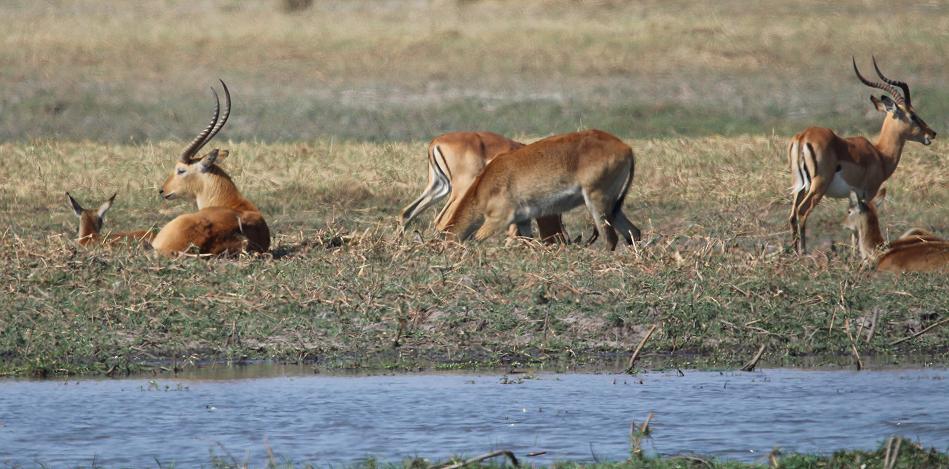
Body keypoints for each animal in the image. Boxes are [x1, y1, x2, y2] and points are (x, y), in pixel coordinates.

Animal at [398, 131, 568, 241]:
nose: (562, 241)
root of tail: (435, 142)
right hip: (460, 190)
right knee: (442, 221)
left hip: (439, 187)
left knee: (407, 212)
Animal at [440, 129, 640, 249]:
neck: (483, 187)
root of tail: (626, 148)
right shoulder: (523, 220)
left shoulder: (497, 220)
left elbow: (476, 239)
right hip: (613, 206)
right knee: (633, 232)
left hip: (596, 202)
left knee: (611, 238)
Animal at [788, 56, 936, 252]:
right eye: (912, 115)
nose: (931, 133)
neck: (880, 154)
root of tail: (804, 136)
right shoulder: (868, 193)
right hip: (818, 186)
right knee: (802, 211)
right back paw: (803, 251)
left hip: (799, 186)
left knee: (792, 214)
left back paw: (793, 251)